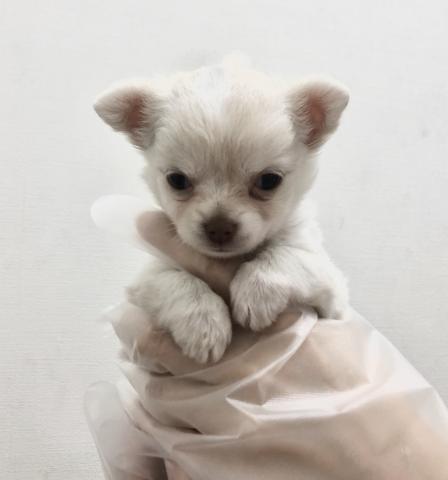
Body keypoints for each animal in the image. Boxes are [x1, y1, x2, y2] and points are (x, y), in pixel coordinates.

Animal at [94, 57, 349, 363]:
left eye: (269, 180)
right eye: (177, 180)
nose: (219, 227)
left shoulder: (330, 287)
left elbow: (286, 255)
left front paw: (255, 293)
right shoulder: (148, 278)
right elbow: (175, 281)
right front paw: (203, 324)